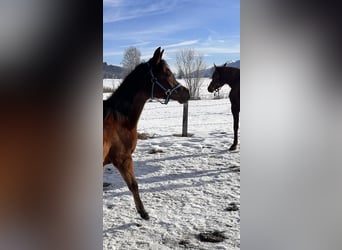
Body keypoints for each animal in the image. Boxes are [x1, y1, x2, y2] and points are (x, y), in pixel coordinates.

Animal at [103, 47, 191, 219]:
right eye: (167, 73)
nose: (187, 92)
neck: (119, 119)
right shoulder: (123, 159)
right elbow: (133, 185)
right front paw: (143, 212)